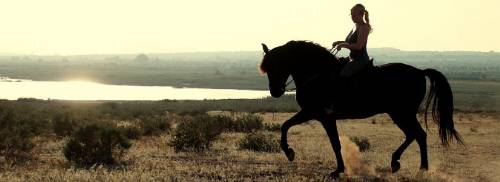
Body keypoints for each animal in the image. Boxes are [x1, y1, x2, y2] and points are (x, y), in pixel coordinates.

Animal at [260, 40, 462, 178]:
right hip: (400, 114)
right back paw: (400, 163)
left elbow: (288, 127)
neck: (317, 75)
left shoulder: (316, 114)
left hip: (402, 113)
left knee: (418, 134)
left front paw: (291, 153)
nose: (275, 92)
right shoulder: (321, 116)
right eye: (267, 68)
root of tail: (420, 72)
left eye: (277, 65)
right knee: (415, 135)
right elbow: (329, 141)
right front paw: (338, 169)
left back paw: (419, 168)